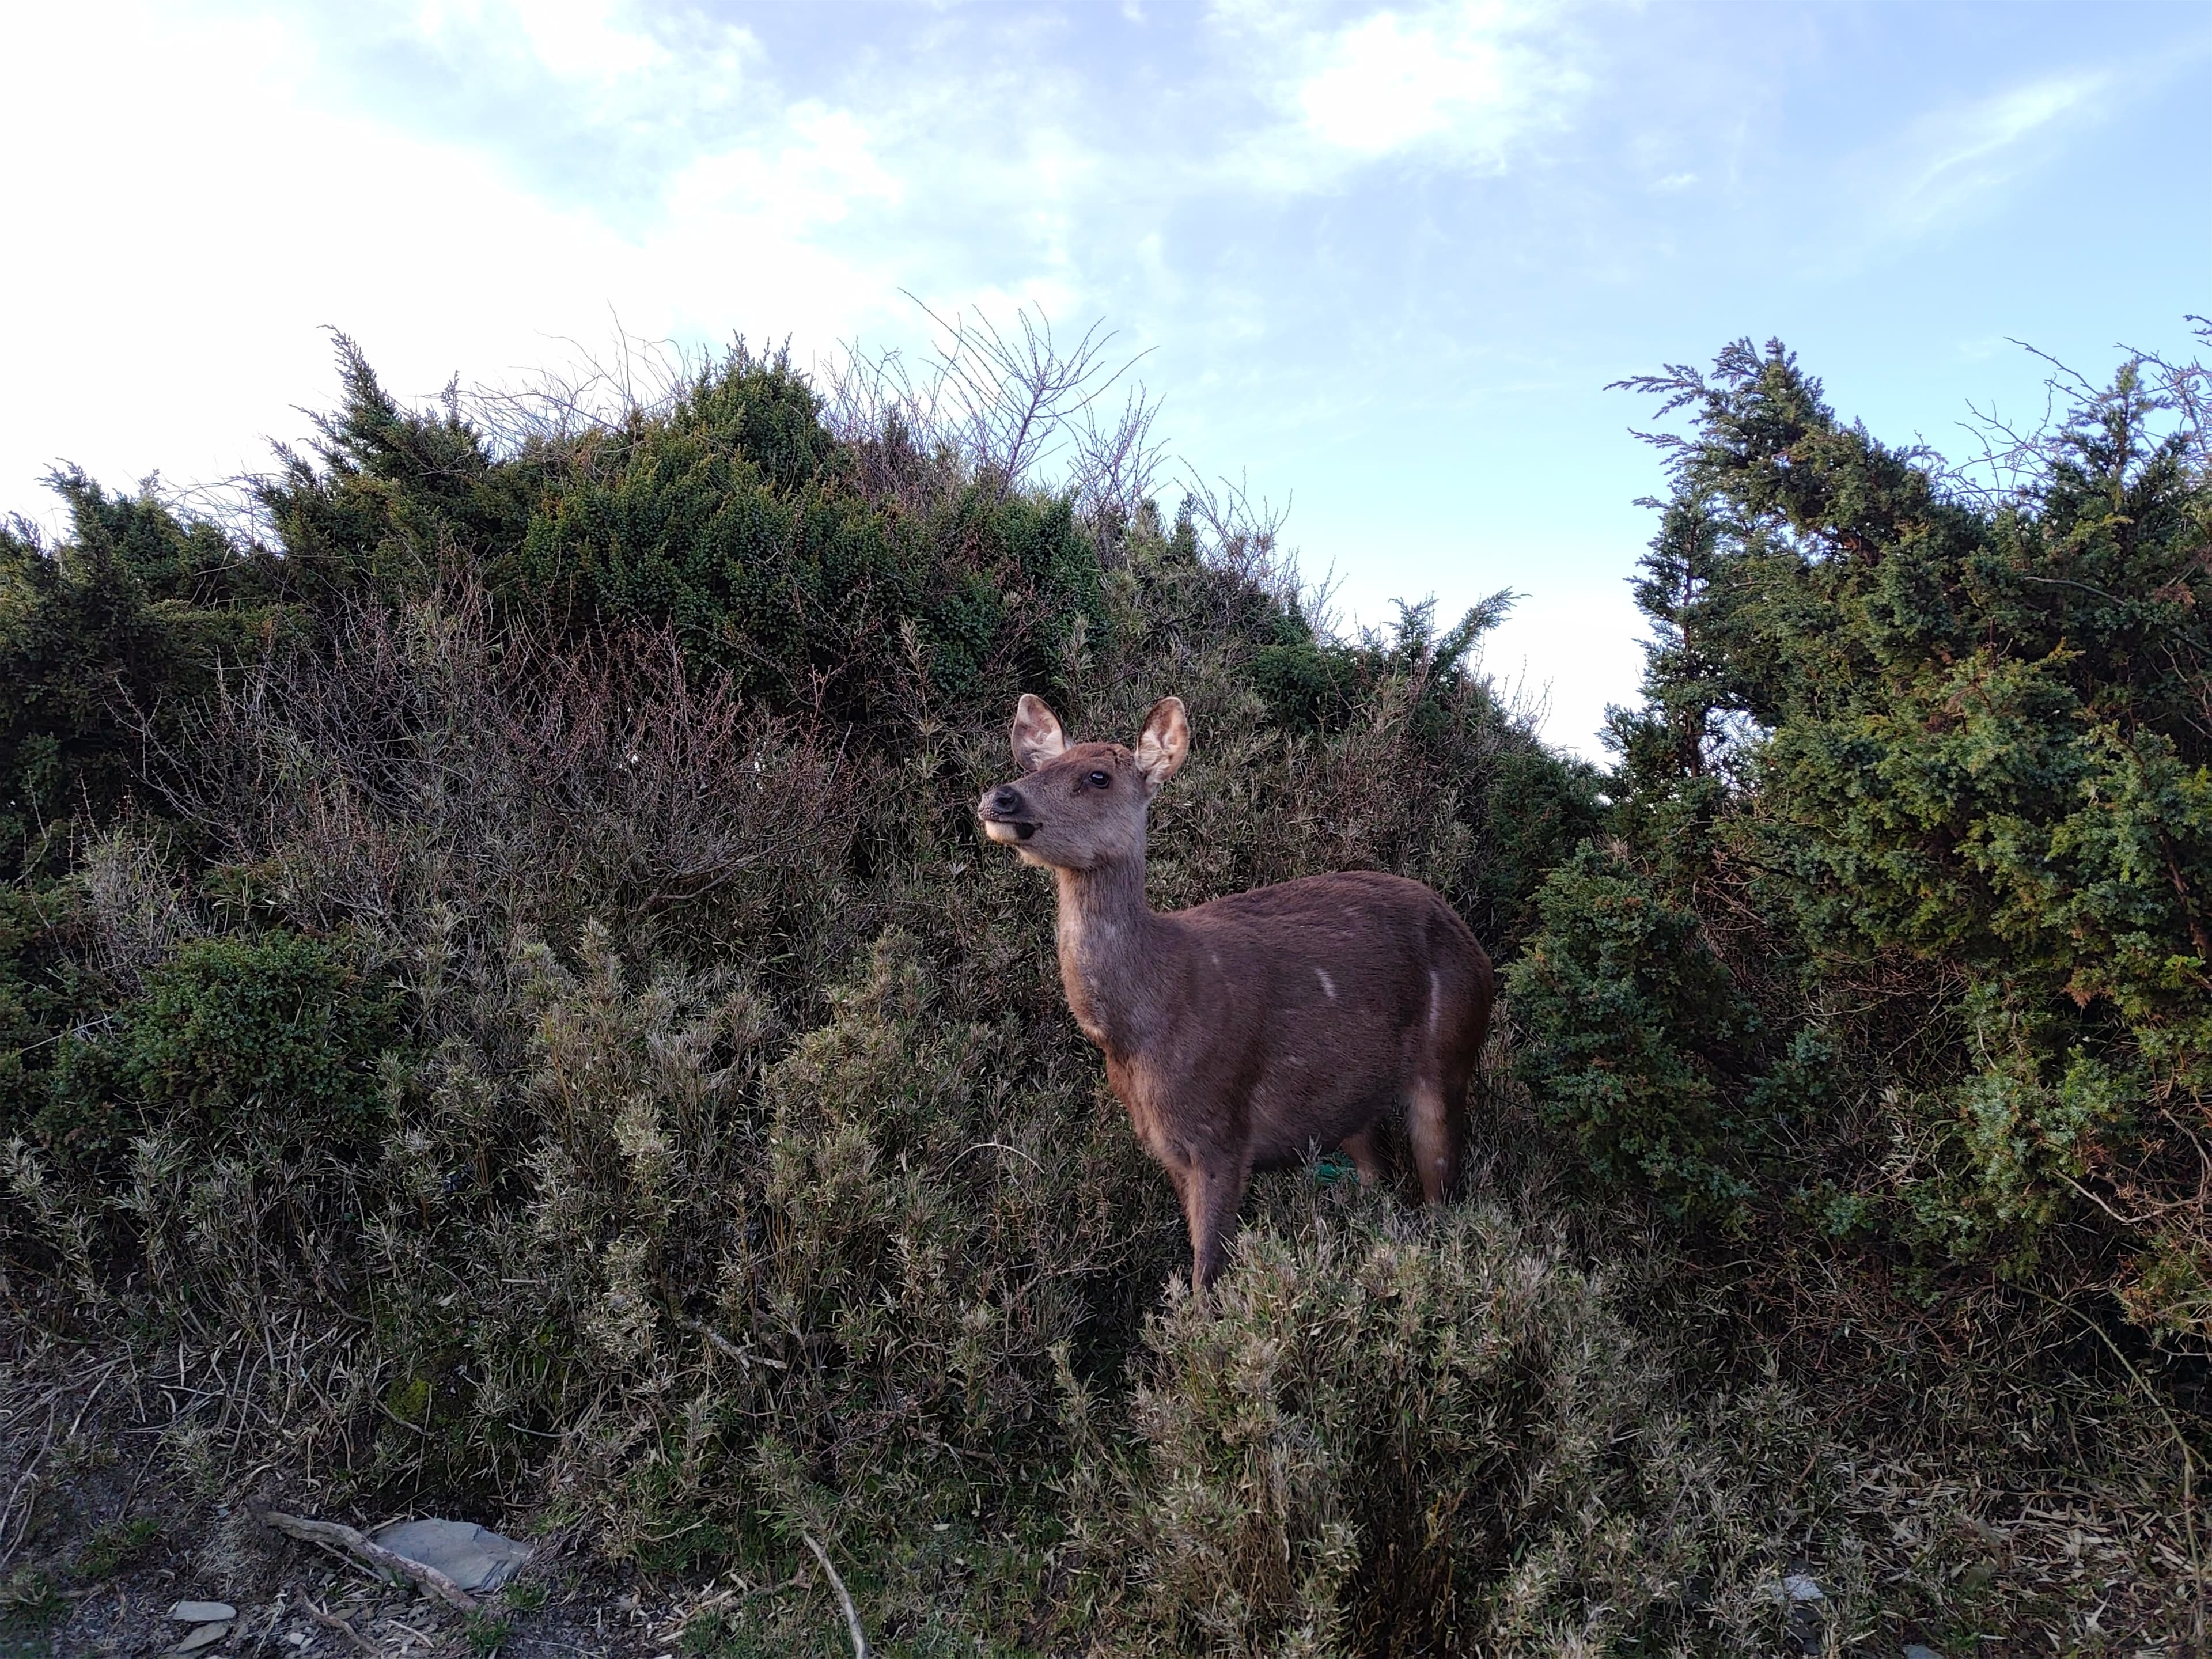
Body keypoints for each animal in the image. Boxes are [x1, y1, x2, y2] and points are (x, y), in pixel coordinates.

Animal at [976, 693, 1494, 1290]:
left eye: (1098, 776)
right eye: (1040, 764)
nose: (1000, 798)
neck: (1139, 1028)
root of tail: (1475, 946)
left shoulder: (1222, 1131)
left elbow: (1208, 1276)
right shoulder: (1167, 1145)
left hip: (1450, 1057)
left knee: (1442, 1197)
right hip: (1351, 1102)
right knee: (1378, 1177)